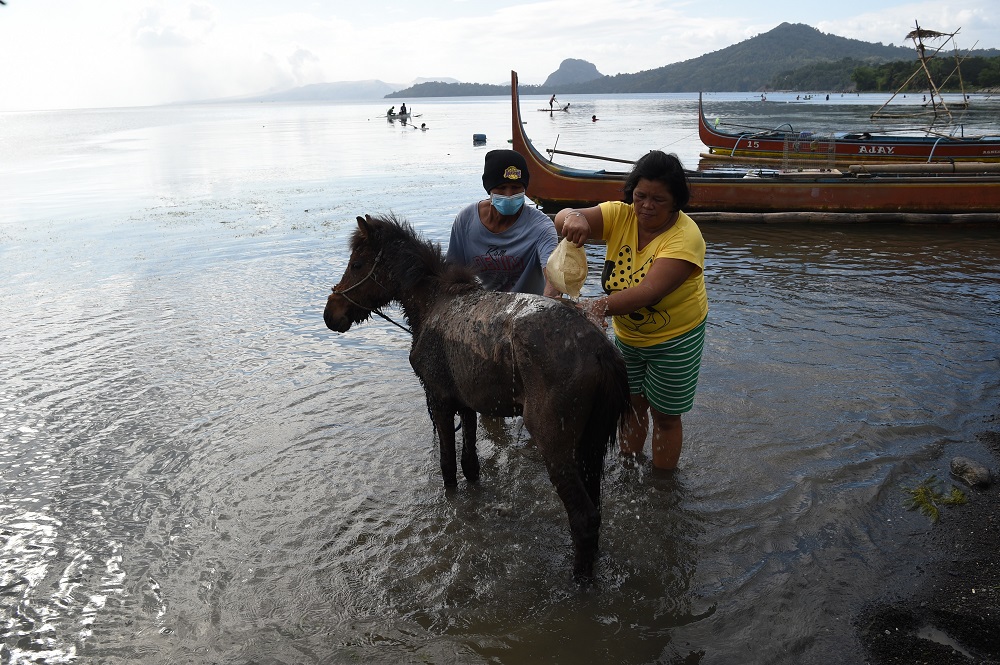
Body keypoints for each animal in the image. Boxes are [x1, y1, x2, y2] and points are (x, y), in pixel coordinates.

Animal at [324, 214, 630, 582]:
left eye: (356, 264)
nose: (330, 314)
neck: (430, 304)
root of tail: (601, 351)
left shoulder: (438, 401)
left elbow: (448, 467)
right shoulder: (466, 404)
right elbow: (470, 463)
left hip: (555, 442)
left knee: (584, 517)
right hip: (589, 443)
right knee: (595, 509)